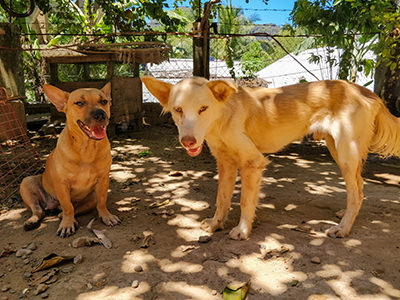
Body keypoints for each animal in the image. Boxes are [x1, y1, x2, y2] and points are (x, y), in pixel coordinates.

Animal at [19, 84, 120, 237]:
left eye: (104, 101)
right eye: (79, 103)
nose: (101, 114)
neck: (86, 148)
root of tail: (52, 205)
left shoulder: (103, 180)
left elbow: (102, 202)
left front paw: (106, 216)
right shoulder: (62, 184)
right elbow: (68, 206)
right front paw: (67, 224)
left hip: (92, 196)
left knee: (77, 208)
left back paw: (63, 216)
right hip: (27, 182)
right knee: (39, 210)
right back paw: (33, 221)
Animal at [141, 76, 400, 240]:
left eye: (203, 108)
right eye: (178, 110)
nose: (188, 141)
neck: (222, 118)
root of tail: (365, 90)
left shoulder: (252, 162)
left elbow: (245, 201)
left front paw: (242, 231)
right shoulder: (225, 163)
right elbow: (222, 199)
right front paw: (215, 224)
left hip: (346, 151)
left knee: (357, 192)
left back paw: (343, 228)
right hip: (338, 150)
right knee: (359, 186)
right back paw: (344, 215)